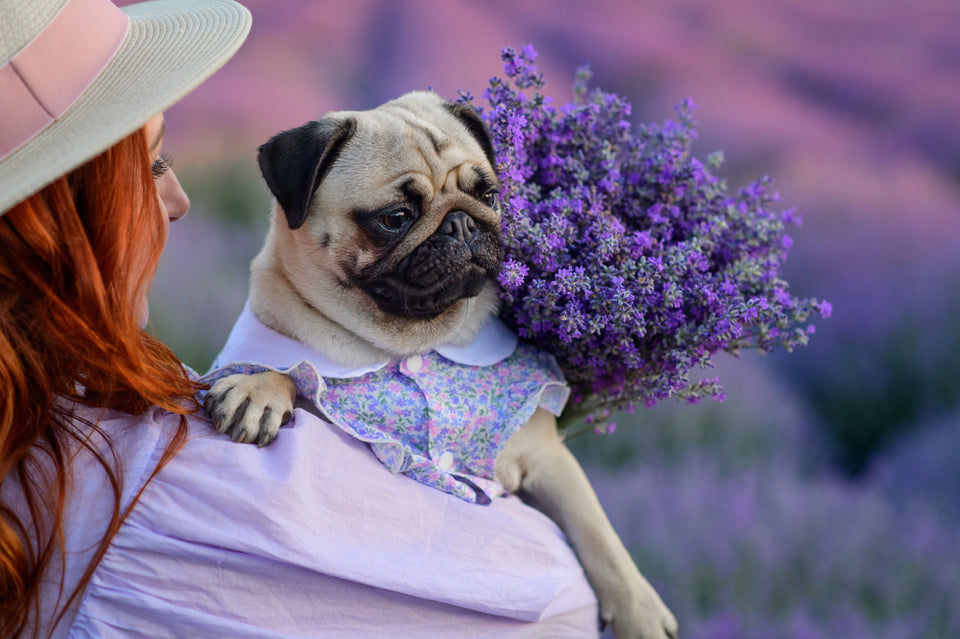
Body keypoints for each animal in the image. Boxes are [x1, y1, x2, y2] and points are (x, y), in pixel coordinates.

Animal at [206, 91, 680, 639]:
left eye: (489, 195)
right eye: (395, 217)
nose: (462, 221)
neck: (412, 340)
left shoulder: (547, 457)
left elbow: (598, 533)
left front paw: (640, 612)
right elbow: (296, 370)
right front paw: (260, 388)